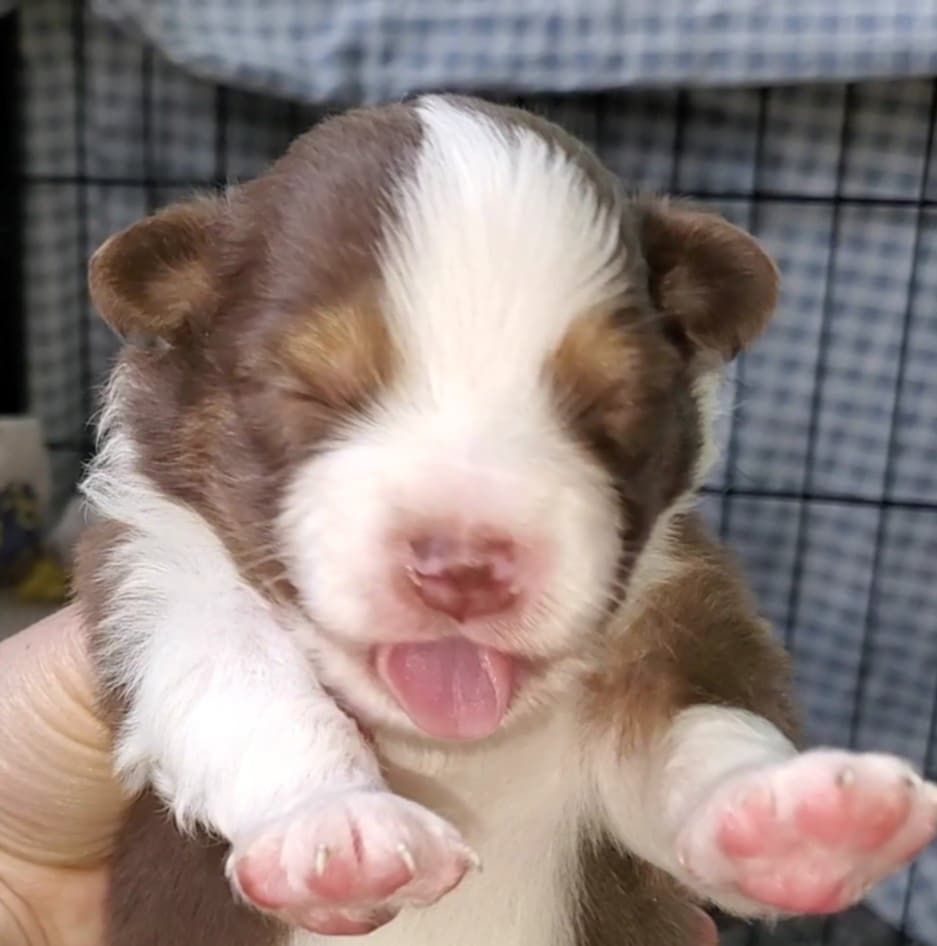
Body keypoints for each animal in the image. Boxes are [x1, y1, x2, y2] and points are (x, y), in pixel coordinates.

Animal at [76, 94, 937, 946]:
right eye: (310, 392)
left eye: (608, 407)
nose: (461, 565)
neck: (454, 750)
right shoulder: (159, 578)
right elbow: (240, 684)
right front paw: (336, 826)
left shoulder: (675, 608)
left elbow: (698, 724)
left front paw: (796, 822)